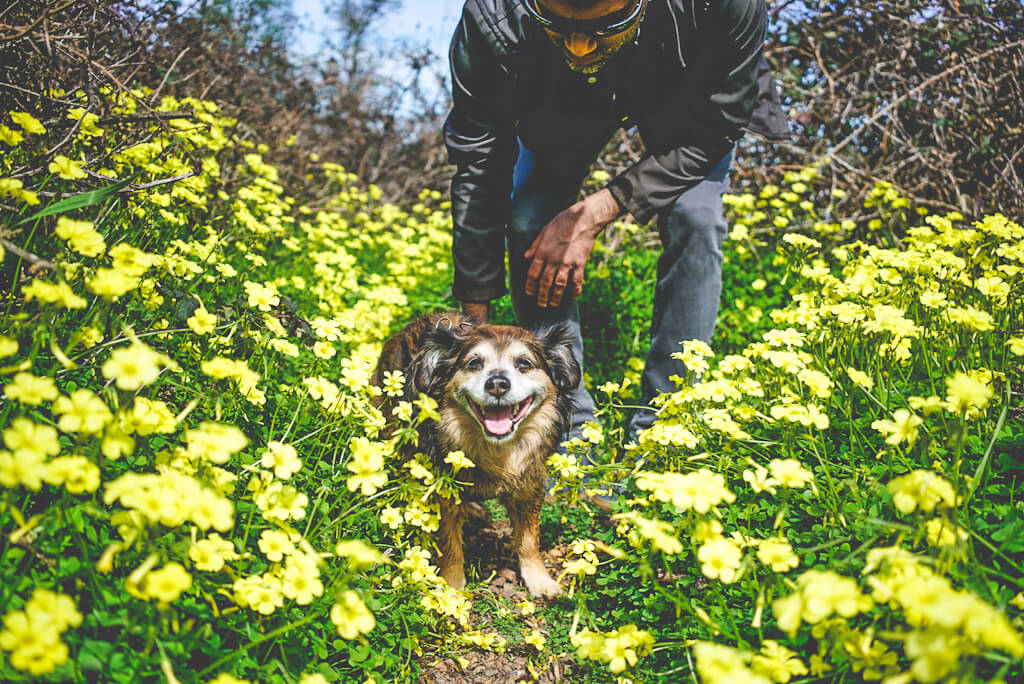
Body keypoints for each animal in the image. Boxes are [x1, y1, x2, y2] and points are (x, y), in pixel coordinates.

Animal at [370, 313, 581, 593]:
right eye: (474, 363)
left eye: (524, 363)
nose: (498, 384)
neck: (496, 448)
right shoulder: (442, 492)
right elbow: (449, 545)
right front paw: (450, 588)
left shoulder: (529, 485)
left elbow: (528, 539)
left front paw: (539, 580)